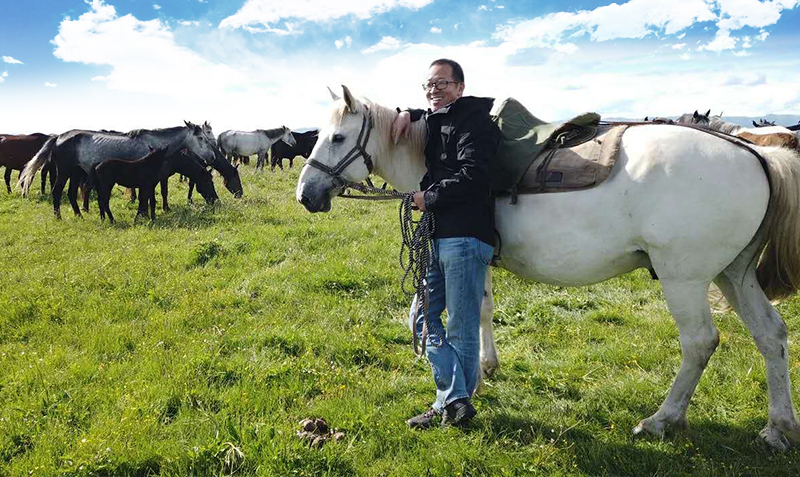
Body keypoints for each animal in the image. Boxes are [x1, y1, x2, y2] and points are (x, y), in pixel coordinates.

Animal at [296, 86, 800, 450]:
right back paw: (778, 427)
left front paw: (470, 386)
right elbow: (483, 310)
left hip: (684, 279)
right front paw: (488, 367)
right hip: (733, 274)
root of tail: (757, 154)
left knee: (699, 343)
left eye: (337, 137)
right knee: (770, 335)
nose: (306, 194)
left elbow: (465, 317)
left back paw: (662, 419)